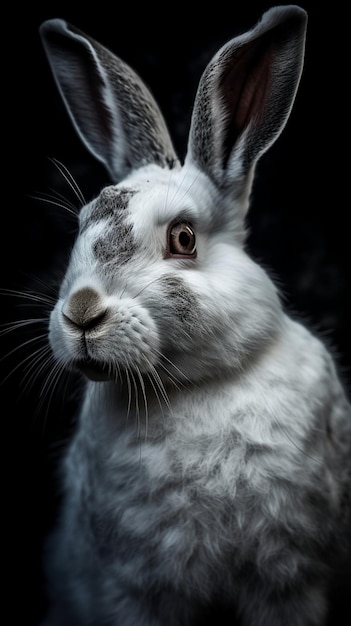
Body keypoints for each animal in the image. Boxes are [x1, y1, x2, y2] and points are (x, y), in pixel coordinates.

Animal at [38, 6, 351, 624]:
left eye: (183, 238)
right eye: (81, 225)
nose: (82, 314)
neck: (195, 385)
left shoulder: (290, 580)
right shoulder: (135, 588)